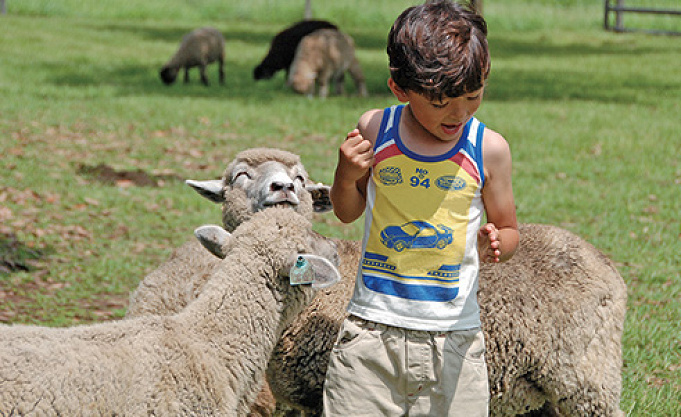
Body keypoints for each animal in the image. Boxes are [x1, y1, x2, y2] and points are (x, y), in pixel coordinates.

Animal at [127, 148, 628, 414]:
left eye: (300, 178)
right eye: (240, 176)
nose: (281, 188)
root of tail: (606, 264)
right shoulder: (297, 399)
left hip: (587, 379)